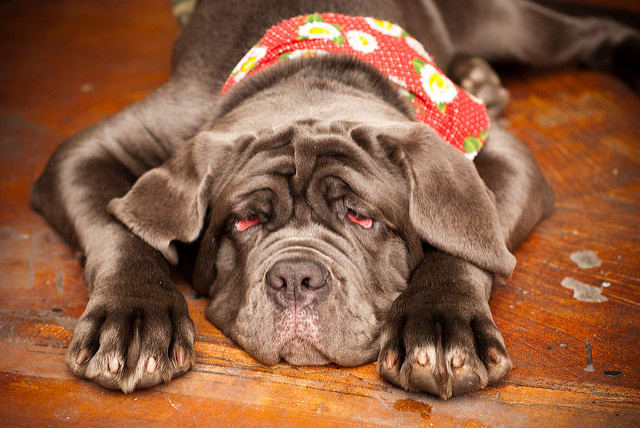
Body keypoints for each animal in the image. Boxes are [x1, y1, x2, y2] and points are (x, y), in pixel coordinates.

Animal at [32, 0, 636, 400]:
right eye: (245, 221)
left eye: (361, 217)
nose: (296, 277)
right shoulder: (94, 149)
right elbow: (119, 228)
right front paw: (133, 319)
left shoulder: (500, 154)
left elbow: (466, 240)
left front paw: (443, 326)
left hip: (505, 22)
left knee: (583, 30)